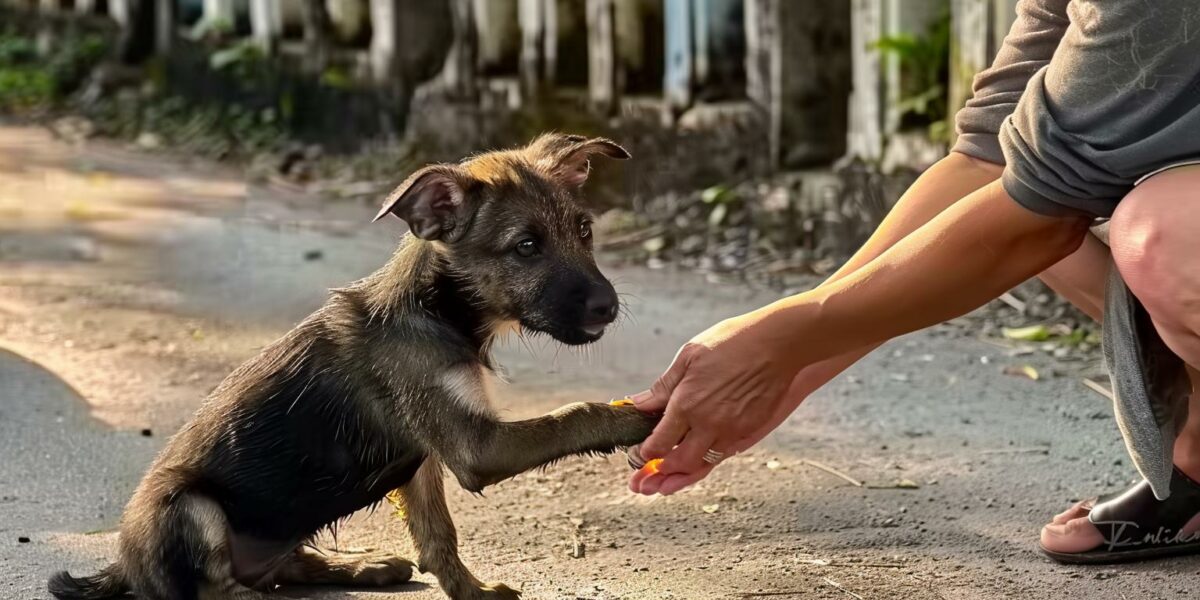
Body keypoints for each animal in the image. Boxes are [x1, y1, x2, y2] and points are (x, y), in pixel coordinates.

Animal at [49, 136, 657, 600]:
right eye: (526, 247)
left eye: (585, 230)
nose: (609, 307)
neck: (438, 310)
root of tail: (122, 565)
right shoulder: (473, 448)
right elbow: (573, 415)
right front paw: (635, 418)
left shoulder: (423, 457)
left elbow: (439, 538)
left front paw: (473, 592)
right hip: (189, 508)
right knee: (217, 589)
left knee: (287, 566)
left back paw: (369, 566)